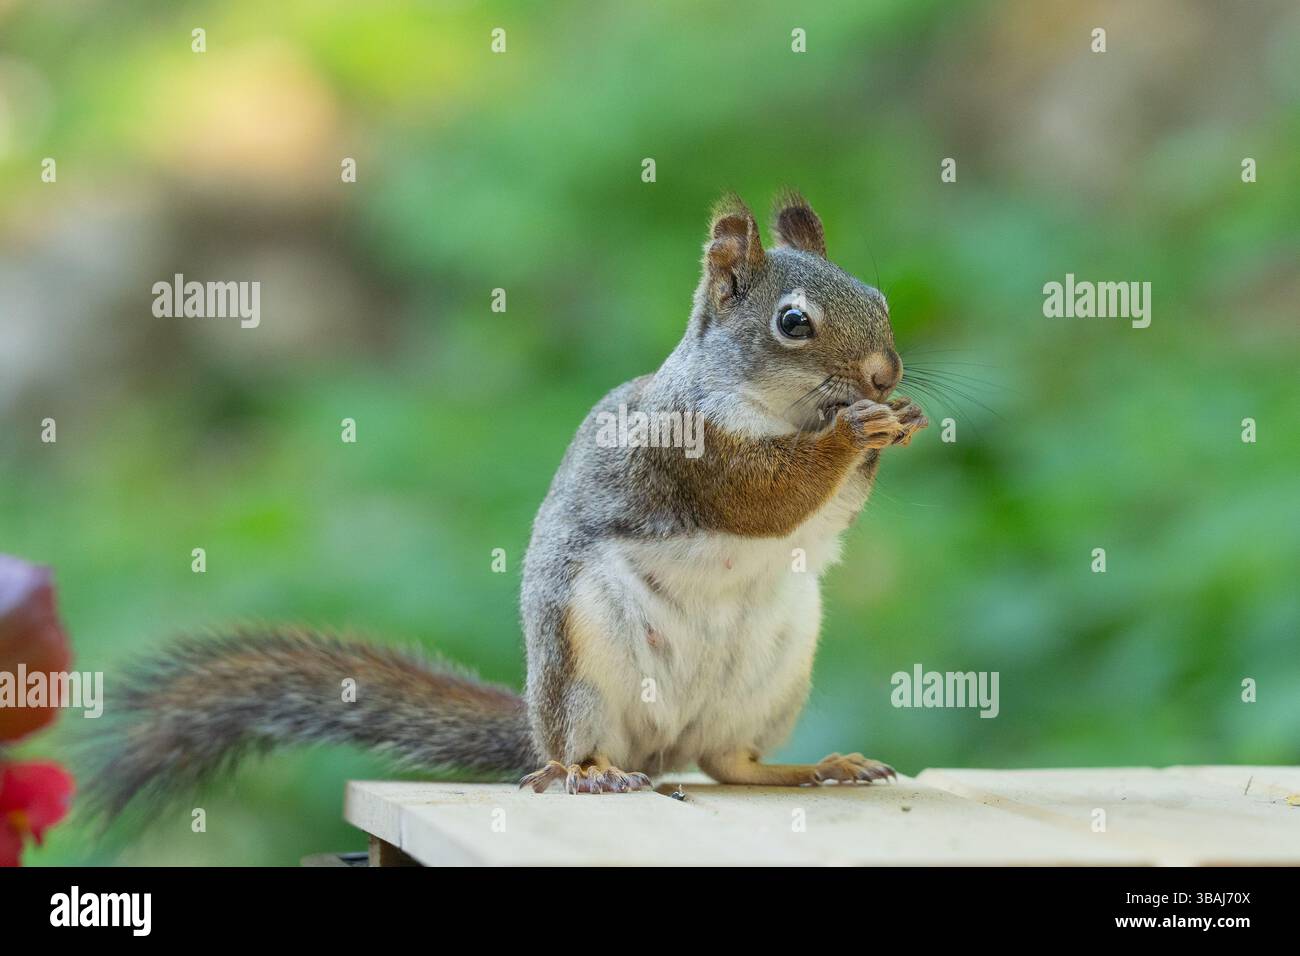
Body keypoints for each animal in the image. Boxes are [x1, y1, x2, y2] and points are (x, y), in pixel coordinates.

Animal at [87, 191, 927, 818]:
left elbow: (831, 514)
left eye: (880, 297)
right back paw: (591, 773)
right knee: (575, 756)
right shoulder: (685, 452)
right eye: (793, 323)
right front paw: (852, 432)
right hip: (582, 662)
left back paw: (811, 768)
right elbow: (766, 497)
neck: (773, 409)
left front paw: (901, 422)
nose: (886, 374)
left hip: (772, 673)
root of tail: (659, 752)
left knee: (729, 763)